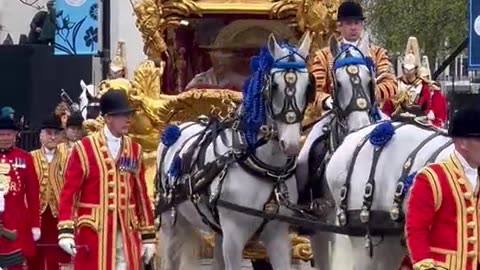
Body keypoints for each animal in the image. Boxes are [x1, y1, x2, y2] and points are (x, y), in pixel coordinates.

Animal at [156, 32, 316, 270]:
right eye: (274, 86)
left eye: (308, 87)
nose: (292, 143)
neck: (263, 167)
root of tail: (177, 128)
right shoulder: (234, 237)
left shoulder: (277, 235)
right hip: (170, 221)